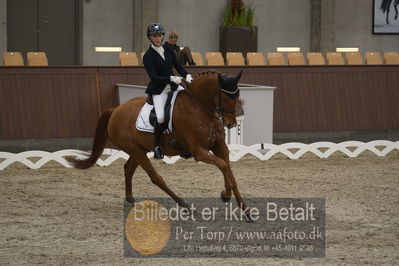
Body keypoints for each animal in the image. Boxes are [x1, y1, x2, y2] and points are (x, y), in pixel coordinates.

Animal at [69, 71, 250, 216]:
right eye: (225, 98)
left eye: (237, 96)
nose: (231, 124)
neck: (200, 107)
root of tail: (115, 110)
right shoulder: (199, 151)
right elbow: (223, 166)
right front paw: (225, 195)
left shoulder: (220, 147)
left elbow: (229, 171)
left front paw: (245, 210)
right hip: (136, 150)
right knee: (155, 177)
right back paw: (185, 205)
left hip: (140, 150)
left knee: (128, 169)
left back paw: (131, 200)